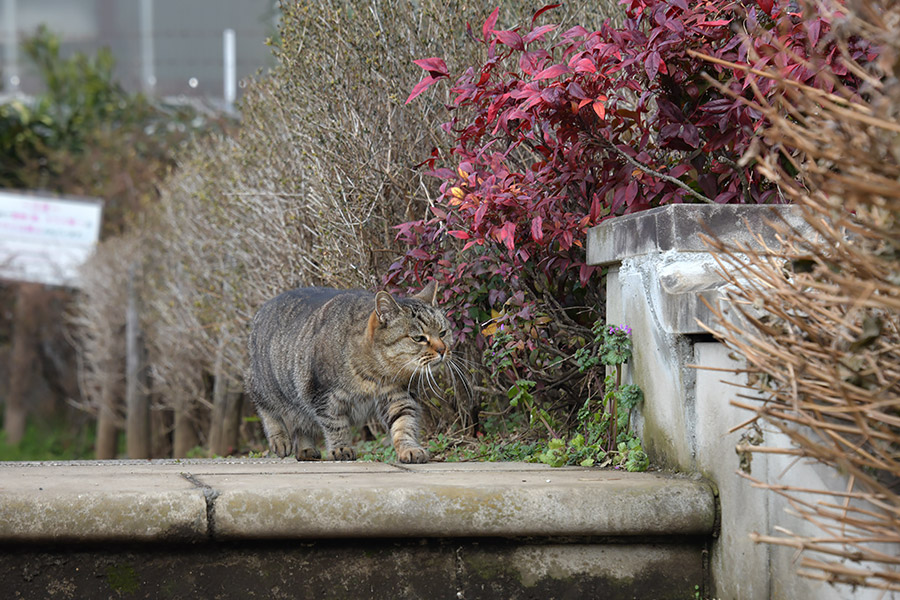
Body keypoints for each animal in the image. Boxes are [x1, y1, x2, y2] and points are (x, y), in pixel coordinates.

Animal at [244, 282, 450, 464]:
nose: (443, 350)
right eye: (419, 338)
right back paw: (280, 440)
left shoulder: (398, 396)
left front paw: (409, 448)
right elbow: (336, 425)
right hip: (266, 385)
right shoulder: (324, 396)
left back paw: (305, 450)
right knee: (265, 407)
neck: (376, 374)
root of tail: (264, 307)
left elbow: (404, 424)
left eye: (443, 332)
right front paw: (340, 448)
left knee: (301, 423)